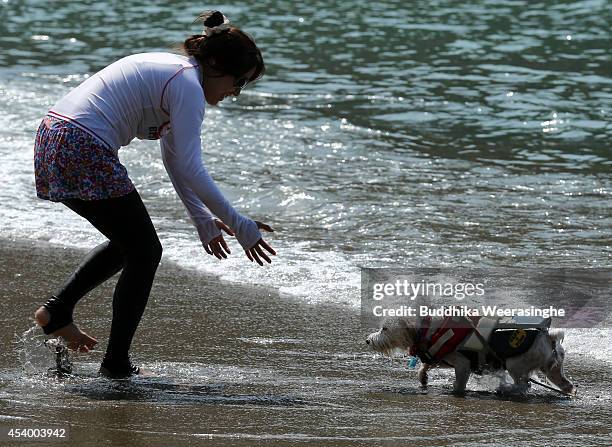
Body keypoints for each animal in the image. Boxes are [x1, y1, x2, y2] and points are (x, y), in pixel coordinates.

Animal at [366, 316, 576, 398]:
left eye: (385, 329)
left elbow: (459, 384)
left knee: (524, 385)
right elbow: (426, 365)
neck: (427, 330)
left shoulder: (462, 364)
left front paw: (456, 392)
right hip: (553, 369)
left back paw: (506, 389)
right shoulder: (443, 358)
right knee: (566, 384)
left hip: (515, 364)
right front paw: (423, 376)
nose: (368, 340)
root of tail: (548, 336)